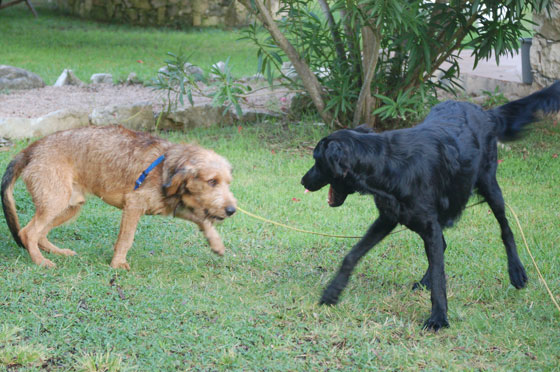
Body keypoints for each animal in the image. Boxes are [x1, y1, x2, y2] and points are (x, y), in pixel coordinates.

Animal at [0, 125, 236, 268]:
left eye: (228, 182)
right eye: (212, 181)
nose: (232, 210)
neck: (167, 168)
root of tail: (32, 148)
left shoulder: (174, 206)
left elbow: (204, 220)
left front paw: (216, 243)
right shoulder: (134, 205)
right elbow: (126, 238)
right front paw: (118, 264)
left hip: (69, 206)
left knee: (37, 233)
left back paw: (57, 252)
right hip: (55, 201)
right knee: (28, 232)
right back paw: (41, 261)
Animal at [302, 81, 560, 328]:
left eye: (316, 160)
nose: (303, 180)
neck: (386, 163)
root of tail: (484, 112)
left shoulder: (427, 225)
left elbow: (439, 276)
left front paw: (438, 318)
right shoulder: (389, 218)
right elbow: (352, 255)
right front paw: (332, 293)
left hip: (490, 186)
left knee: (506, 229)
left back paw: (516, 271)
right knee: (444, 245)